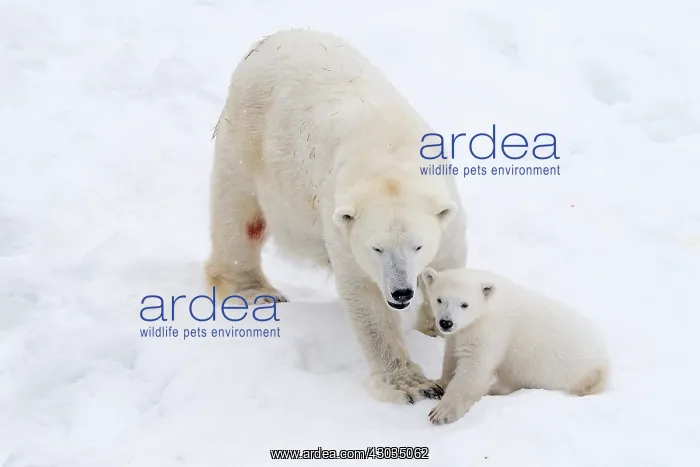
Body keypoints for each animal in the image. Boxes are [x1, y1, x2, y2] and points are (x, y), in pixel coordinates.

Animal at [206, 29, 468, 404]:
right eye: (376, 249)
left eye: (418, 246)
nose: (402, 292)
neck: (390, 152)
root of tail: (273, 38)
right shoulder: (342, 225)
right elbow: (366, 298)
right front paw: (412, 385)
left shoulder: (448, 220)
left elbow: (447, 270)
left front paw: (435, 328)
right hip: (247, 132)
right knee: (239, 215)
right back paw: (255, 292)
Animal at [420, 267, 609, 425]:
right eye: (439, 299)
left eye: (464, 304)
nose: (446, 322)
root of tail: (603, 363)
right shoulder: (460, 332)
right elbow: (451, 355)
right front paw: (438, 383)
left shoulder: (490, 328)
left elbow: (474, 366)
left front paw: (442, 413)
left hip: (556, 371)